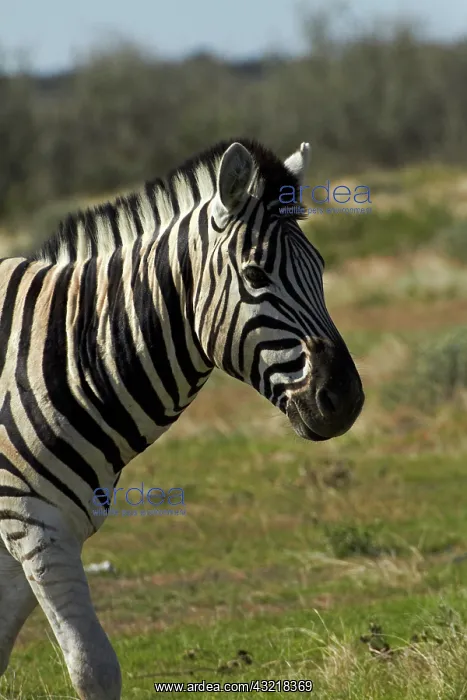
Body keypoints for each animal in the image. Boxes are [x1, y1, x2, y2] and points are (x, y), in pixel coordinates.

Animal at [0, 138, 364, 699]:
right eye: (255, 275)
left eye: (321, 269)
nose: (345, 400)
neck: (58, 353)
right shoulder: (37, 529)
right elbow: (95, 670)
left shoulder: (27, 537)